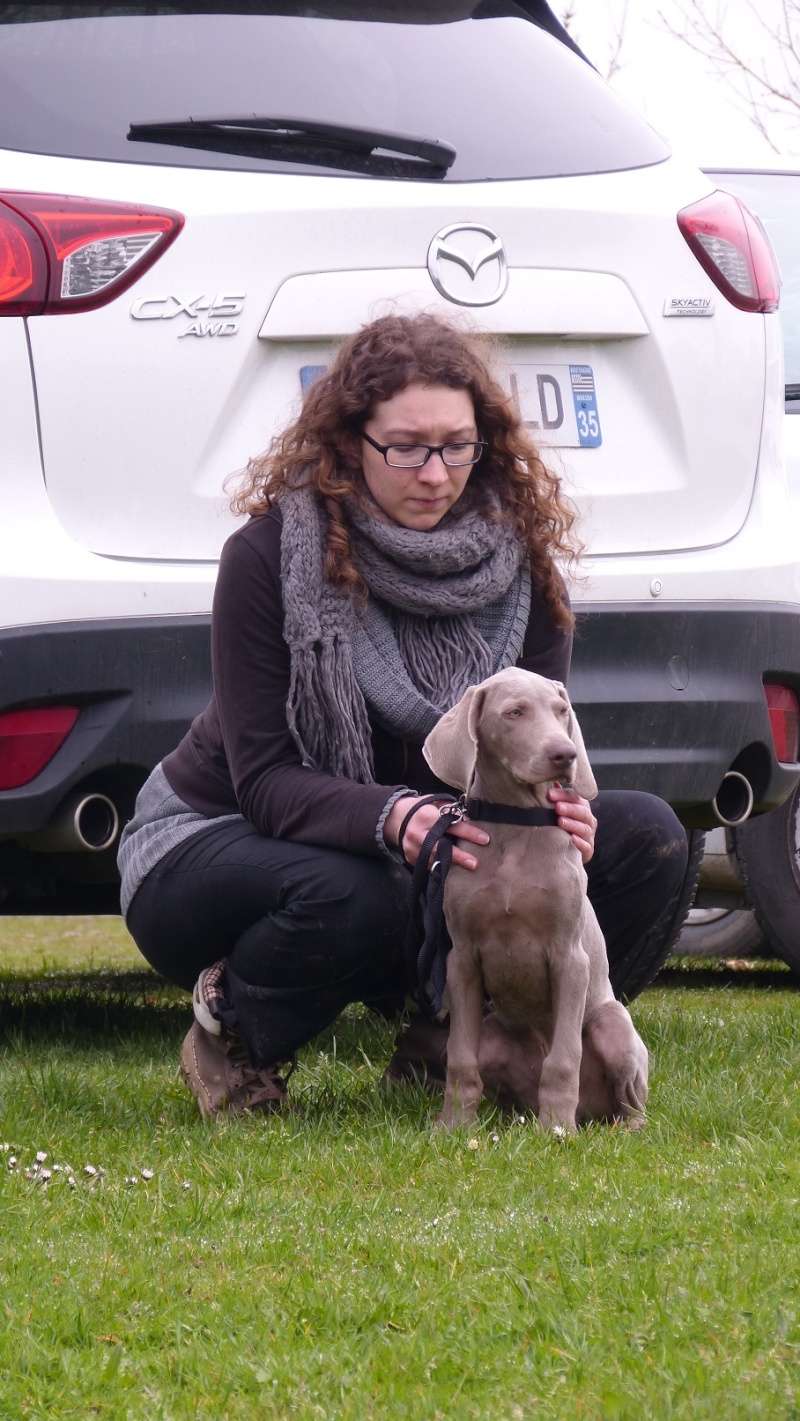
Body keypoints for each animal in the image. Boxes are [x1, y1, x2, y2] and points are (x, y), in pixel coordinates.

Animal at [423, 665, 647, 1131]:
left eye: (562, 711)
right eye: (515, 712)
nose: (566, 754)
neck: (517, 821)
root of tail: (591, 1114)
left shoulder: (570, 957)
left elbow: (563, 1060)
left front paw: (557, 1130)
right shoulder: (461, 960)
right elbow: (459, 1058)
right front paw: (452, 1126)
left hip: (613, 1025)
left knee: (630, 1098)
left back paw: (614, 1127)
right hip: (494, 1033)